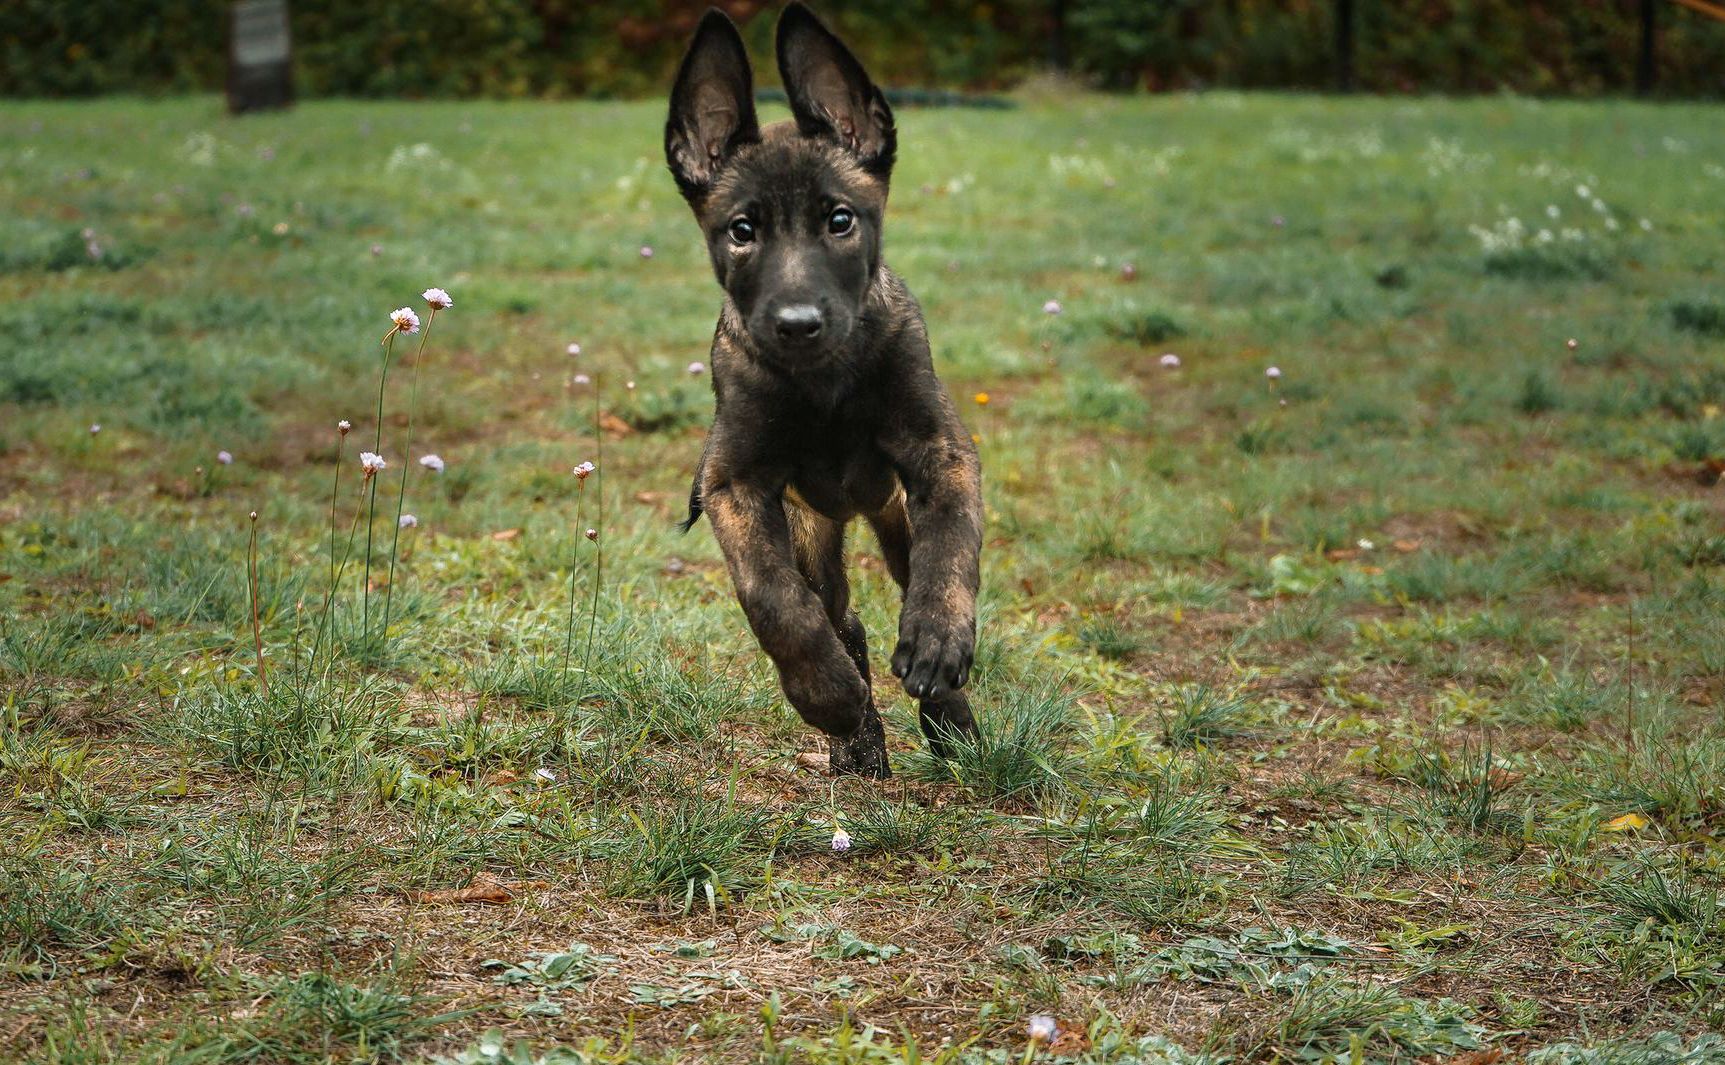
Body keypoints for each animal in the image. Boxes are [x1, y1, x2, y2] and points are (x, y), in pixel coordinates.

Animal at [662, 4, 979, 776]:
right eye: (741, 231)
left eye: (840, 221)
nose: (798, 324)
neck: (825, 383)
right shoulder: (735, 483)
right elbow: (772, 598)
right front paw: (827, 697)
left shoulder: (940, 453)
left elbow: (950, 551)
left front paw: (938, 644)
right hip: (810, 534)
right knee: (843, 618)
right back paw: (858, 741)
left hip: (895, 516)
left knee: (908, 574)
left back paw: (949, 720)